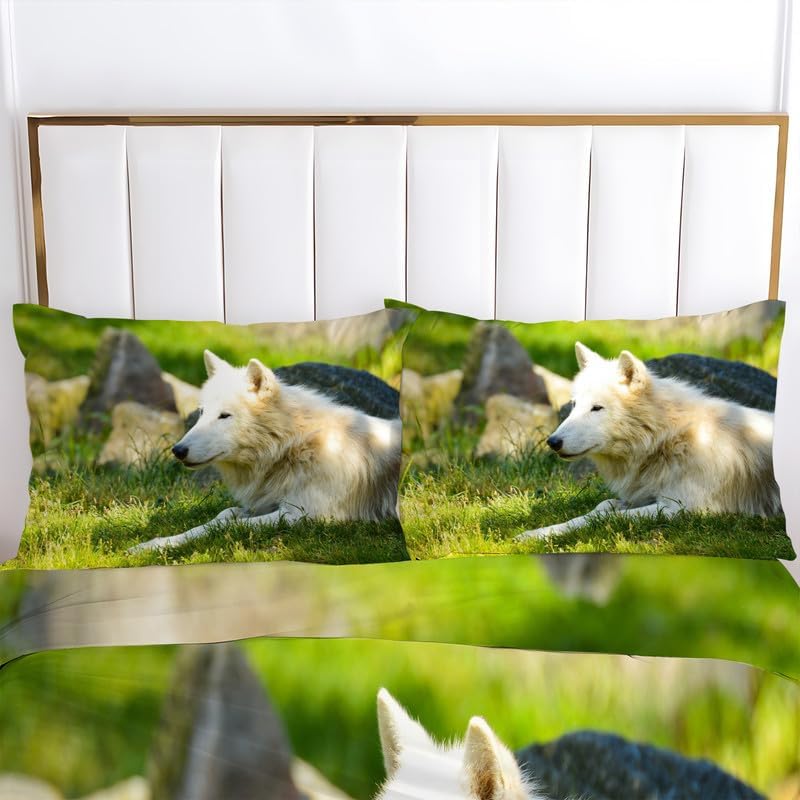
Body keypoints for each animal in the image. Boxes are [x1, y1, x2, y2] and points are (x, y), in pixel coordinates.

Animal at [130, 350, 401, 552]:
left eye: (224, 416)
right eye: (202, 413)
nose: (177, 450)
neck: (296, 446)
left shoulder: (306, 515)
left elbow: (228, 527)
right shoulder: (265, 504)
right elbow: (222, 516)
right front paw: (154, 544)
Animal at [516, 341, 781, 542]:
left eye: (597, 408)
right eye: (574, 405)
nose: (552, 442)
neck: (670, 439)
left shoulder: (682, 508)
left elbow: (609, 517)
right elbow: (601, 507)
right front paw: (538, 533)